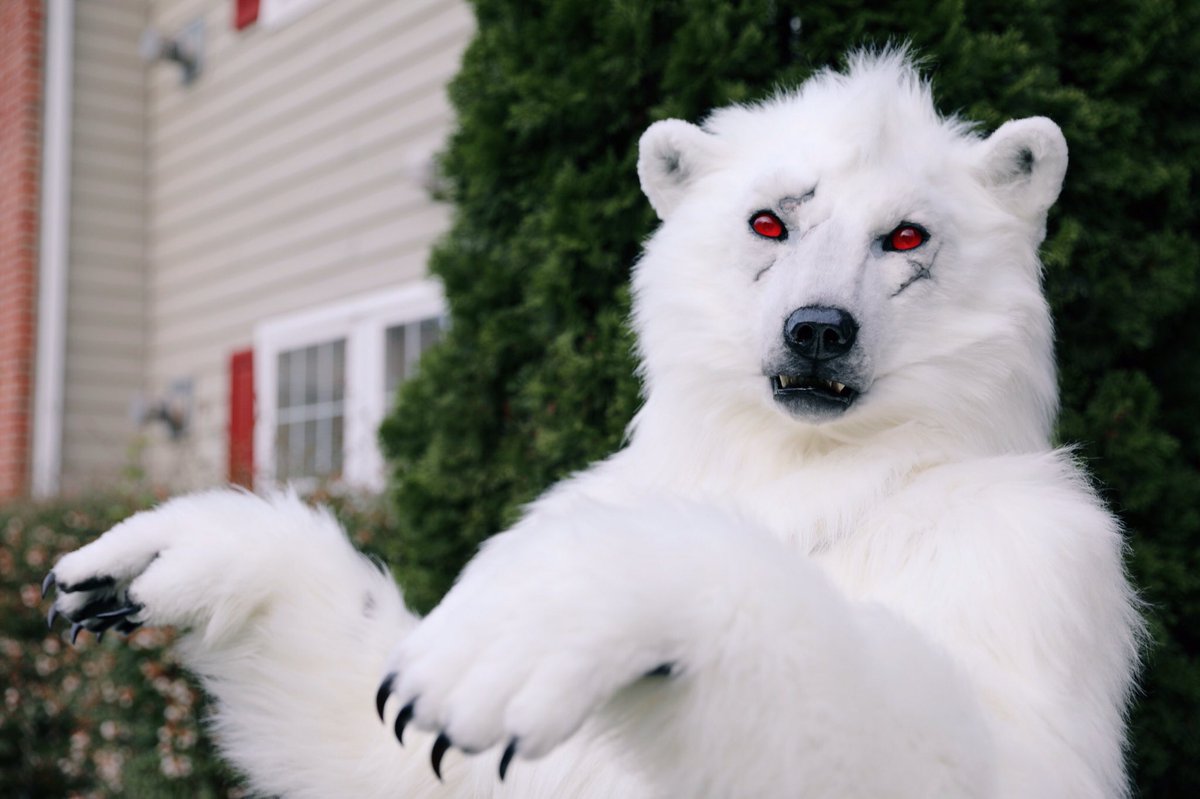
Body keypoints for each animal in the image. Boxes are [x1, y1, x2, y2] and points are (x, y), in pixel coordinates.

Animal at [45, 50, 1142, 798]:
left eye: (908, 234)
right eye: (769, 220)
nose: (818, 329)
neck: (793, 469)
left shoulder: (1032, 564)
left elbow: (982, 753)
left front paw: (579, 603)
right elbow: (381, 742)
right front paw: (171, 555)